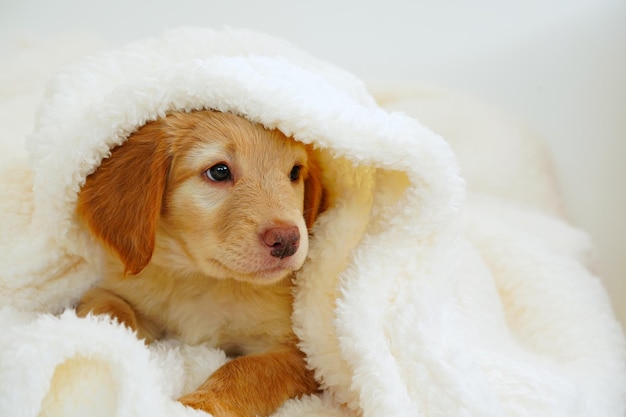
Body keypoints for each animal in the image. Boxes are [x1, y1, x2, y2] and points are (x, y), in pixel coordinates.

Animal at [75, 109, 324, 416]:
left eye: (295, 172)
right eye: (219, 171)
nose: (288, 240)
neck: (201, 281)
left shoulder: (301, 353)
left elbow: (248, 369)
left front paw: (199, 405)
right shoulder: (114, 289)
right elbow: (111, 308)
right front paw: (116, 346)